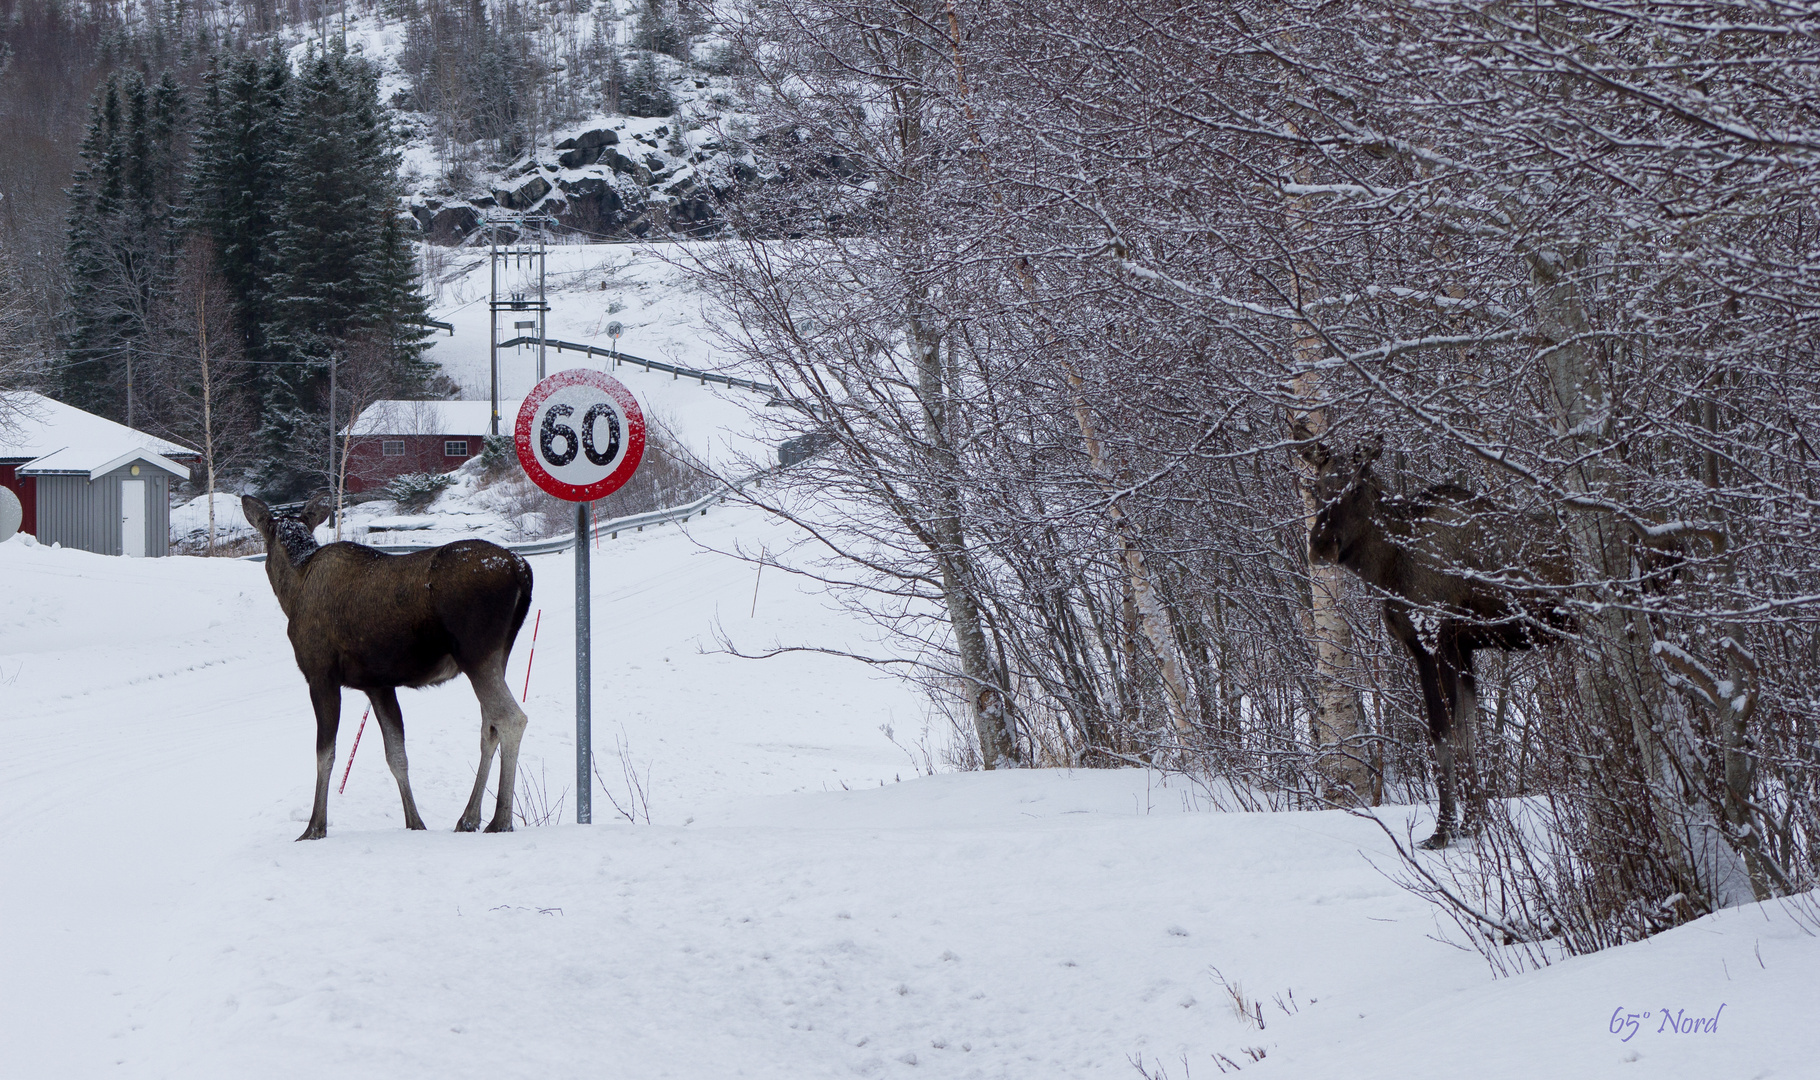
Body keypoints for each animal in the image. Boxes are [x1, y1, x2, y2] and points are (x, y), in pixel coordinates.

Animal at [240, 491, 531, 837]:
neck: (292, 591)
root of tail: (521, 569)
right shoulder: (378, 685)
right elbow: (396, 755)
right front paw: (415, 823)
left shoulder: (321, 675)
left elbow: (326, 754)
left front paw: (314, 828)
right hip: (499, 653)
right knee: (490, 725)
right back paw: (469, 818)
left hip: (476, 653)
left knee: (511, 718)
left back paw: (500, 821)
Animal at [1303, 433, 1572, 845]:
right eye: (1316, 489)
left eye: (1357, 487)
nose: (1321, 545)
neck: (1386, 566)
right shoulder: (1462, 649)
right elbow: (1469, 733)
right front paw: (1475, 824)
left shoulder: (1431, 642)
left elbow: (1442, 735)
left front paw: (1443, 830)